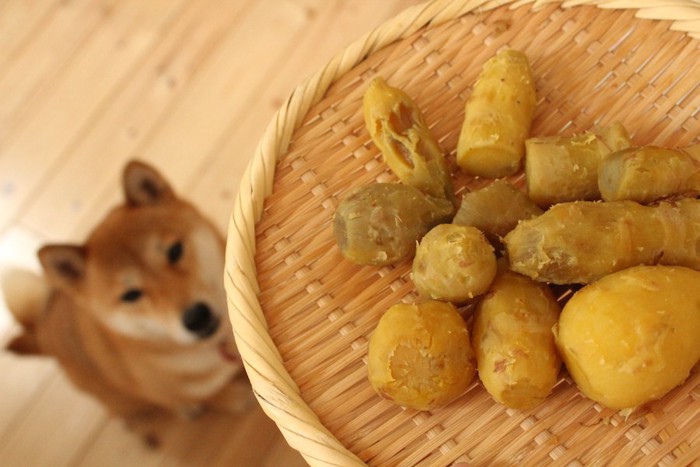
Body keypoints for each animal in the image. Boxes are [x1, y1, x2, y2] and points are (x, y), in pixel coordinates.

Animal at [2, 160, 249, 420]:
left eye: (174, 251)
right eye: (131, 295)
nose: (196, 317)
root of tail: (40, 331)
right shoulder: (162, 389)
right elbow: (207, 396)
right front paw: (231, 397)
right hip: (122, 401)